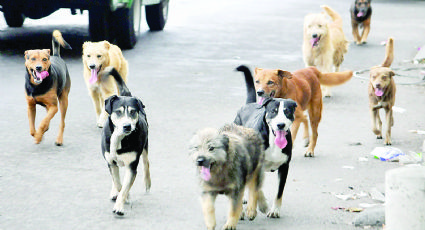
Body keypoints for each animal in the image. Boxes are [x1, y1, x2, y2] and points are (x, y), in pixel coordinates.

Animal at [100, 66, 150, 216]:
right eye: (118, 112)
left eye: (133, 112)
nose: (127, 126)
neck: (119, 138)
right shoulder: (110, 161)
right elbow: (118, 182)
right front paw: (123, 195)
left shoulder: (132, 165)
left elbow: (125, 186)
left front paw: (120, 206)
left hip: (145, 147)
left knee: (146, 163)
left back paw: (147, 182)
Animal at [234, 65, 296, 218]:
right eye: (273, 111)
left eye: (287, 112)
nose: (281, 125)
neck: (273, 141)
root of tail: (249, 104)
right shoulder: (256, 164)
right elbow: (257, 188)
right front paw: (261, 205)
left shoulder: (284, 167)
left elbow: (279, 192)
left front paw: (274, 210)